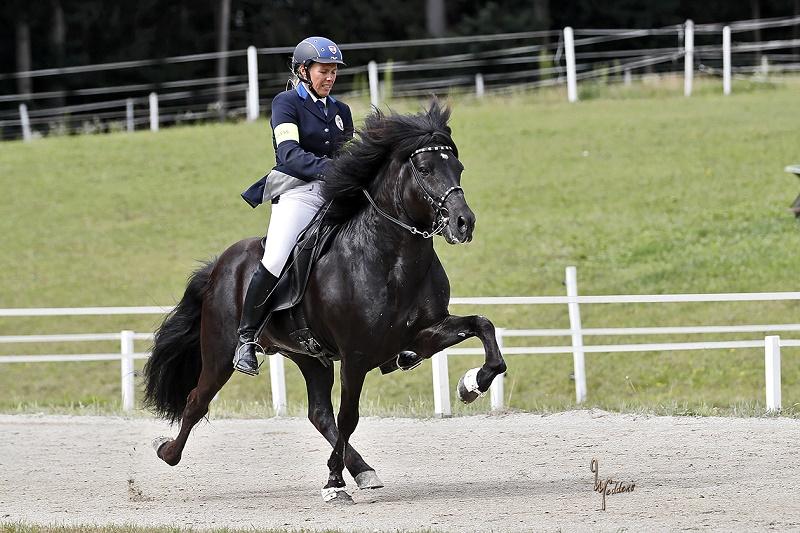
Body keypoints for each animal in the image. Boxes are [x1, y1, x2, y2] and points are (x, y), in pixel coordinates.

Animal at [143, 100, 506, 502]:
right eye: (425, 169)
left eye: (458, 167)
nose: (463, 223)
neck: (392, 260)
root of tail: (220, 266)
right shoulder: (355, 356)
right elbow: (350, 416)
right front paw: (333, 482)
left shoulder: (422, 335)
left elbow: (484, 328)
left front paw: (473, 384)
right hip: (221, 352)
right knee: (197, 400)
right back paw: (168, 451)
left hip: (310, 357)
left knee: (319, 414)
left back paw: (362, 470)